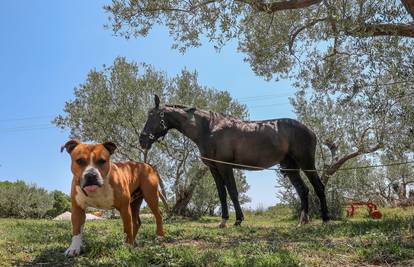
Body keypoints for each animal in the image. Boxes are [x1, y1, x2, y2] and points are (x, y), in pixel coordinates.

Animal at [141, 95, 328, 227]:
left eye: (154, 116)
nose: (142, 140)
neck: (209, 129)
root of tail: (310, 130)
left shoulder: (225, 166)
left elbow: (232, 191)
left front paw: (238, 220)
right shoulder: (214, 168)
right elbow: (222, 194)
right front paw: (223, 221)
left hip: (306, 163)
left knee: (318, 187)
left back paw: (325, 219)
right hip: (290, 166)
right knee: (303, 190)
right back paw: (302, 221)